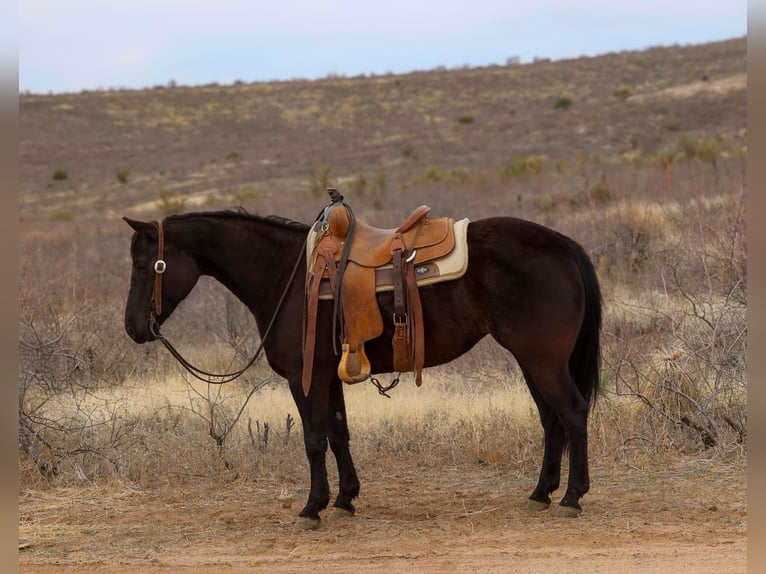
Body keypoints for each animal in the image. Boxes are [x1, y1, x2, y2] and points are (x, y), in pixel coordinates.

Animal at [123, 206, 602, 528]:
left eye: (144, 264)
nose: (133, 328)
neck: (286, 275)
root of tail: (565, 245)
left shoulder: (305, 378)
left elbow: (314, 440)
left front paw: (312, 507)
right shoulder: (329, 375)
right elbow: (339, 433)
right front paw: (345, 500)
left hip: (542, 359)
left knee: (572, 413)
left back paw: (572, 497)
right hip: (533, 361)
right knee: (551, 420)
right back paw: (541, 493)